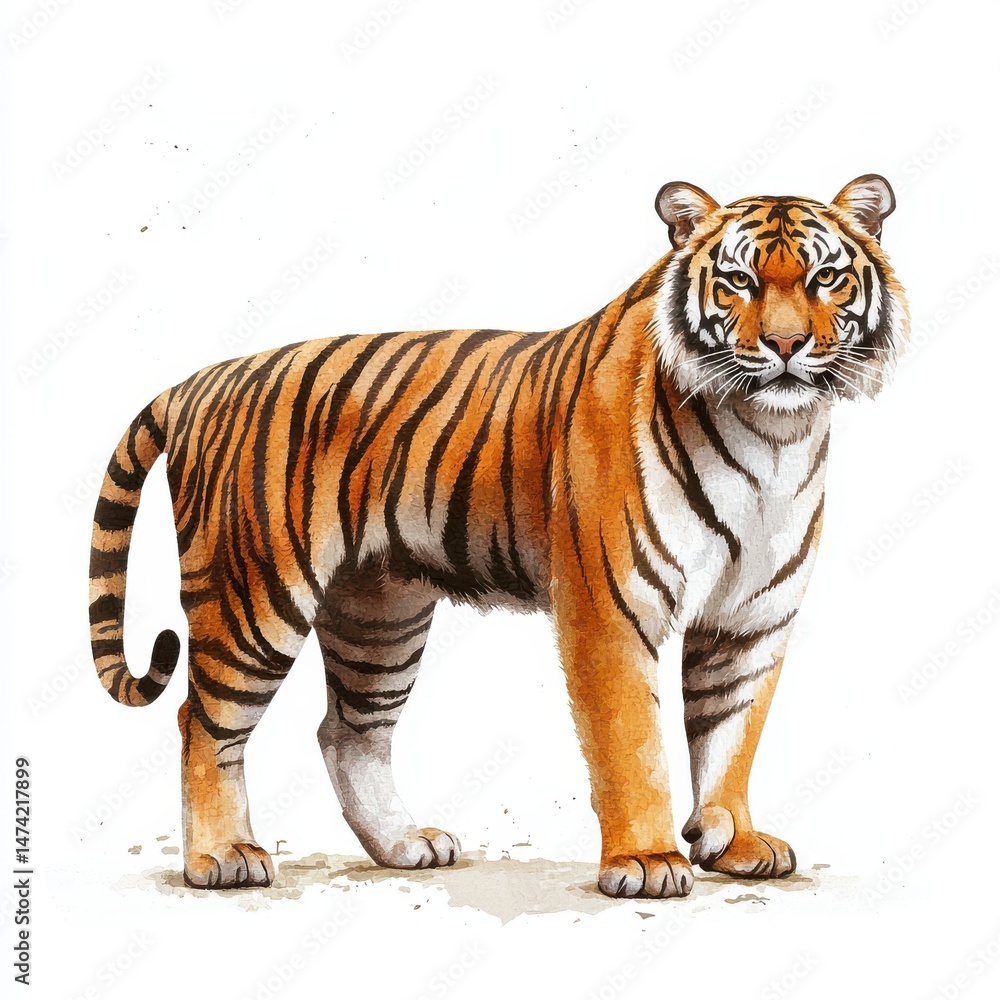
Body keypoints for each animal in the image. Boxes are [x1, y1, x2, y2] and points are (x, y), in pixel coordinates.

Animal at [89, 174, 908, 898]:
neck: (771, 435)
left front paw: (733, 842)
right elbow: (632, 743)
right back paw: (222, 858)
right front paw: (646, 862)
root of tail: (200, 383)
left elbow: (731, 731)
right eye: (737, 281)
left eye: (827, 278)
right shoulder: (611, 608)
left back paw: (405, 845)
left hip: (379, 614)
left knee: (347, 731)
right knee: (204, 720)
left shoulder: (750, 616)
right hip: (252, 596)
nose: (785, 345)